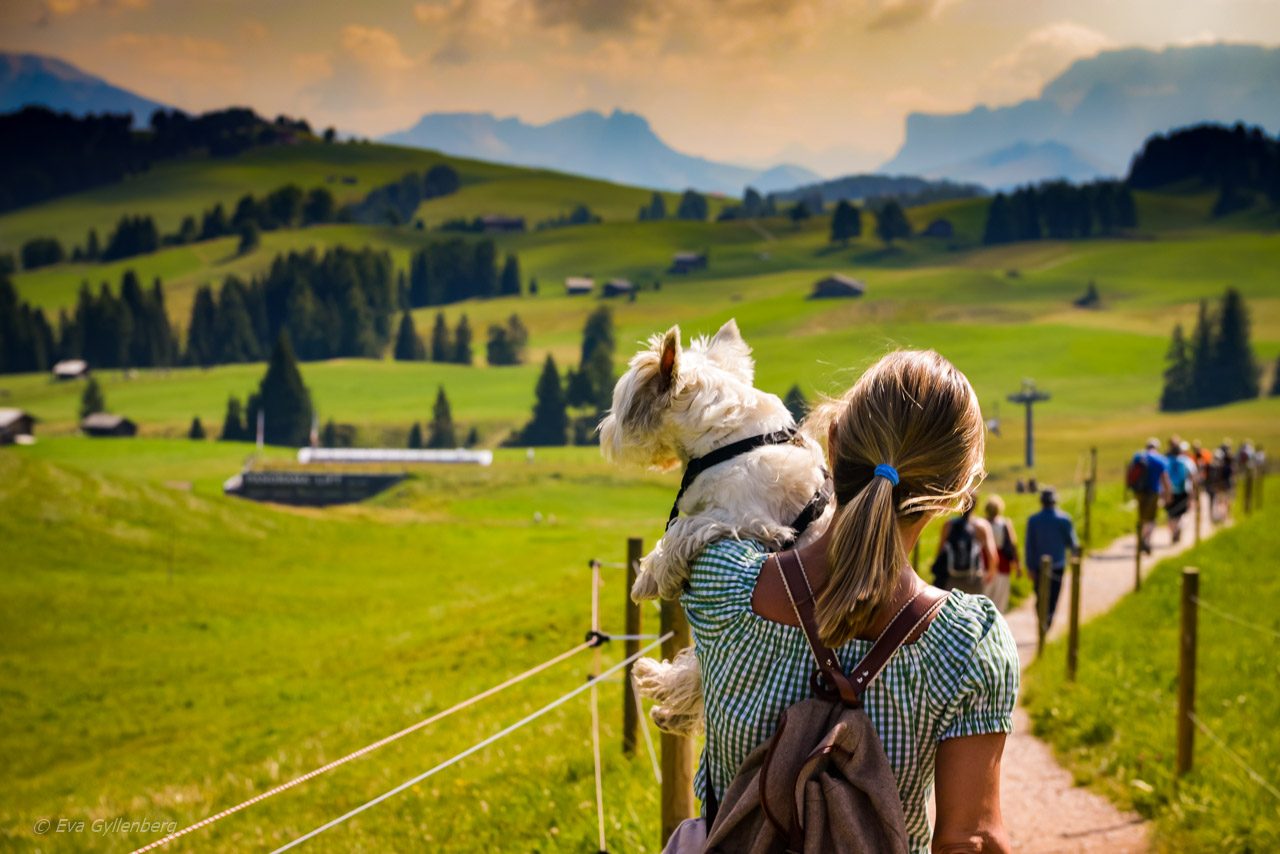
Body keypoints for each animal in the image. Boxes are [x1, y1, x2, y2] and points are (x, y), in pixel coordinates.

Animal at [596, 320, 829, 737]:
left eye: (621, 404)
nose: (605, 431)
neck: (729, 441)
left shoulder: (748, 521)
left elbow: (681, 529)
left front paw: (649, 580)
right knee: (693, 675)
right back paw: (661, 694)